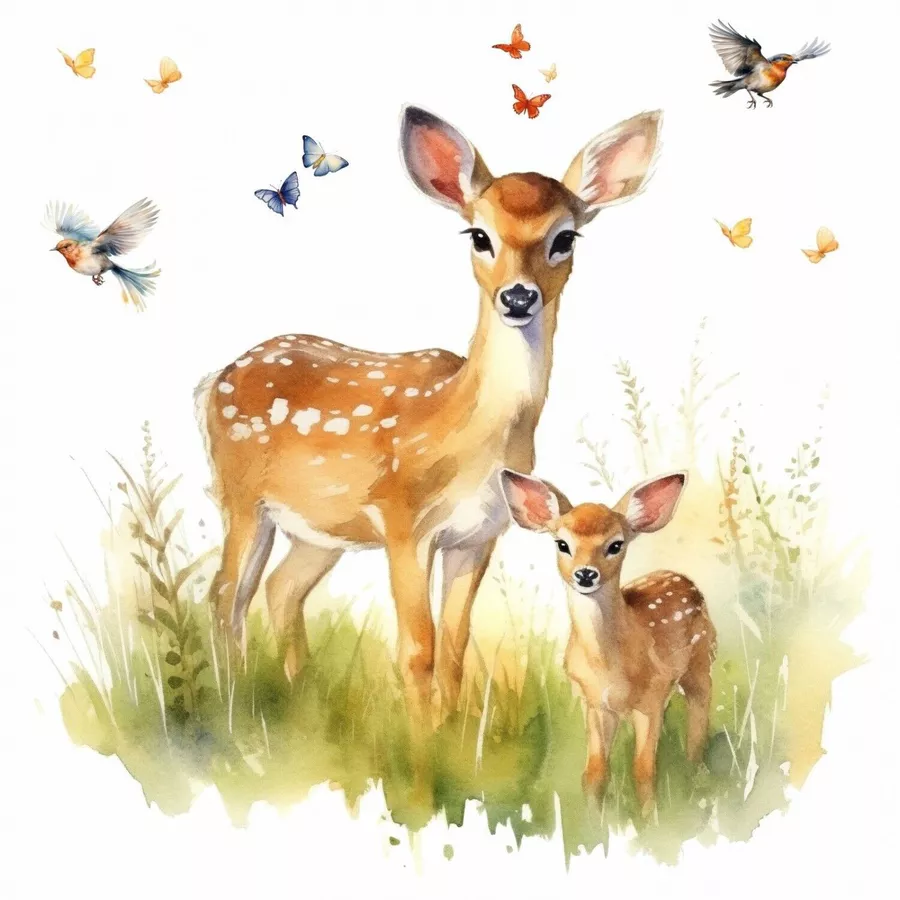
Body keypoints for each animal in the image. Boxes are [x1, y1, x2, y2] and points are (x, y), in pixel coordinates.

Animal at [195, 104, 662, 786]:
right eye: (478, 235)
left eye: (565, 238)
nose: (517, 296)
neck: (468, 437)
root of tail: (215, 378)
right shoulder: (403, 524)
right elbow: (417, 650)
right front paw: (419, 766)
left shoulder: (477, 536)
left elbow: (455, 649)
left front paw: (455, 749)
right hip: (241, 496)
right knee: (225, 596)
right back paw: (235, 719)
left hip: (318, 529)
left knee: (280, 591)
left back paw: (299, 707)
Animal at [499, 469, 716, 816]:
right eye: (562, 543)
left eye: (616, 545)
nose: (586, 574)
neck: (609, 665)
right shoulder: (594, 703)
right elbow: (595, 773)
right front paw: (593, 819)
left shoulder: (650, 699)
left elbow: (643, 770)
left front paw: (651, 819)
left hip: (701, 661)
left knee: (699, 718)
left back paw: (697, 776)